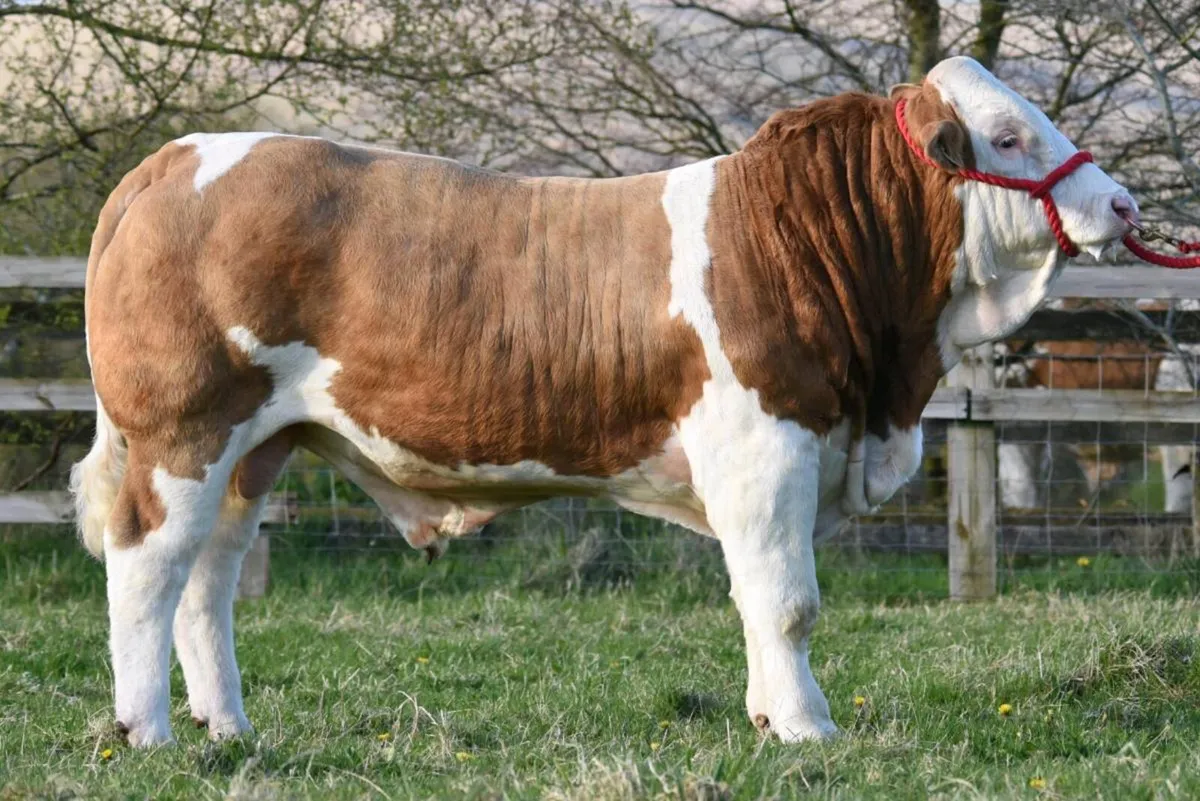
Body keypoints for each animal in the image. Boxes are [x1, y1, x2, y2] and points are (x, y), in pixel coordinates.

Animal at [70, 56, 1137, 747]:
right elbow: (786, 600)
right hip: (184, 429)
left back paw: (227, 727)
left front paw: (767, 715)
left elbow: (756, 597)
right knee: (147, 568)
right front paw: (808, 728)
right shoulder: (769, 448)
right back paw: (148, 729)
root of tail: (172, 157)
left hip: (256, 446)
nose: (1122, 203)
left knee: (208, 578)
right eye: (1008, 135)